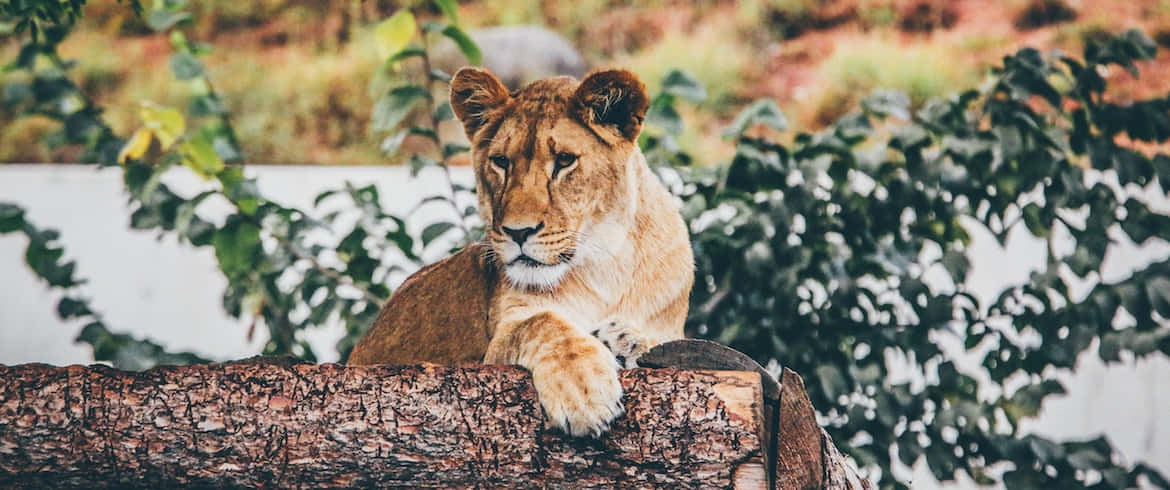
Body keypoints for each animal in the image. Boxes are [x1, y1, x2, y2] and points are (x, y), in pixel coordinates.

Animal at [348, 68, 694, 437]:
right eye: (501, 162)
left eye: (564, 161)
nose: (518, 232)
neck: (604, 261)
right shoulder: (495, 346)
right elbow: (542, 323)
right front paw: (584, 392)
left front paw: (628, 339)